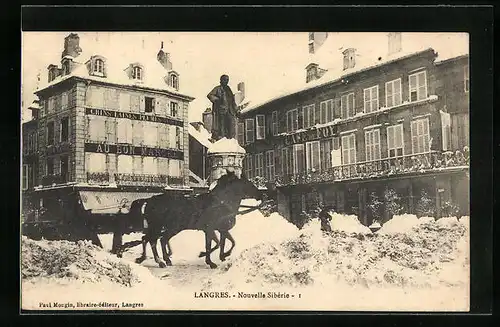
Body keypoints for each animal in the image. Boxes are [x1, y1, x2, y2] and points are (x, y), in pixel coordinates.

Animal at [119, 172, 264, 270]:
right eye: (249, 184)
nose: (262, 195)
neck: (221, 202)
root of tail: (149, 200)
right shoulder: (210, 229)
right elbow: (214, 244)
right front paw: (207, 259)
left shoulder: (220, 229)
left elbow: (228, 242)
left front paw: (222, 256)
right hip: (159, 227)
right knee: (151, 240)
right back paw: (158, 261)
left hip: (171, 228)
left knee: (156, 239)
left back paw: (162, 259)